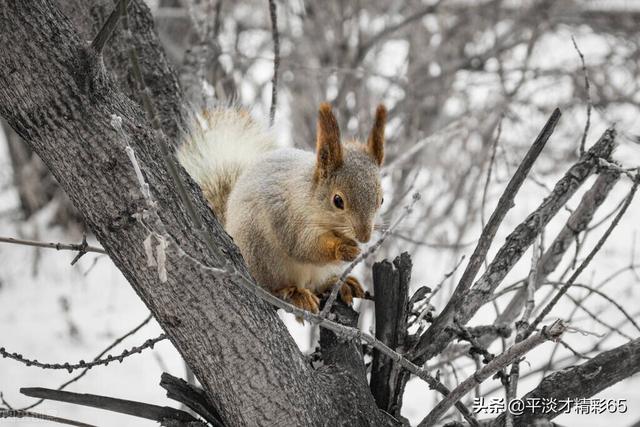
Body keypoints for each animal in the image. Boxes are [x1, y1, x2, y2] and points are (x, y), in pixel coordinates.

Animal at [176, 102, 384, 312]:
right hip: (262, 255)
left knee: (317, 284)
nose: (364, 237)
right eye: (338, 201)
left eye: (381, 200)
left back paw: (338, 284)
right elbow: (303, 246)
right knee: (276, 287)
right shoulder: (286, 216)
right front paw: (342, 248)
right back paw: (295, 293)